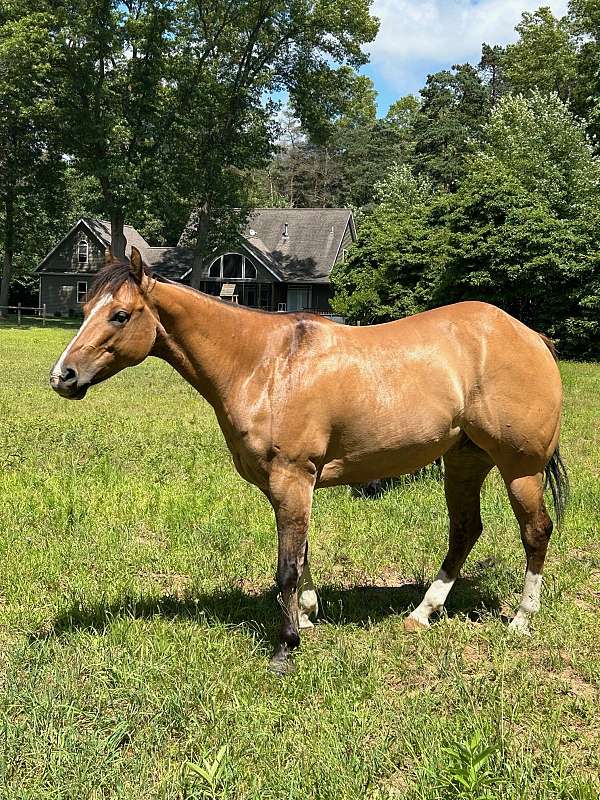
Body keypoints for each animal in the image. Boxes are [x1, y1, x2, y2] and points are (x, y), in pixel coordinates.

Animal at [50, 247, 568, 672]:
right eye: (85, 310)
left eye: (119, 315)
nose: (62, 376)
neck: (263, 364)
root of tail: (530, 336)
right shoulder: (289, 486)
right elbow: (300, 554)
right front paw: (308, 614)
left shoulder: (292, 479)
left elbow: (286, 567)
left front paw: (286, 645)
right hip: (464, 461)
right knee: (464, 530)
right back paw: (422, 613)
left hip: (519, 468)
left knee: (535, 531)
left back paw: (522, 619)